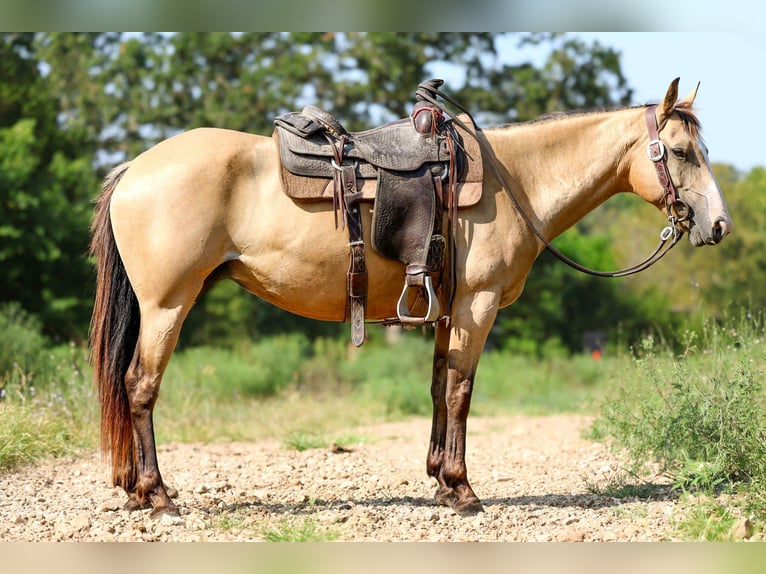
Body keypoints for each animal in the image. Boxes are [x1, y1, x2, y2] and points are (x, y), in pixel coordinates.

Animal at [89, 78, 731, 517]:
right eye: (681, 152)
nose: (718, 225)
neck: (515, 181)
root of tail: (135, 168)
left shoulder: (448, 308)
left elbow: (438, 386)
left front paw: (440, 482)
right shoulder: (477, 305)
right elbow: (461, 390)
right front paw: (464, 489)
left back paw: (137, 492)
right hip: (168, 305)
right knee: (140, 386)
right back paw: (158, 497)